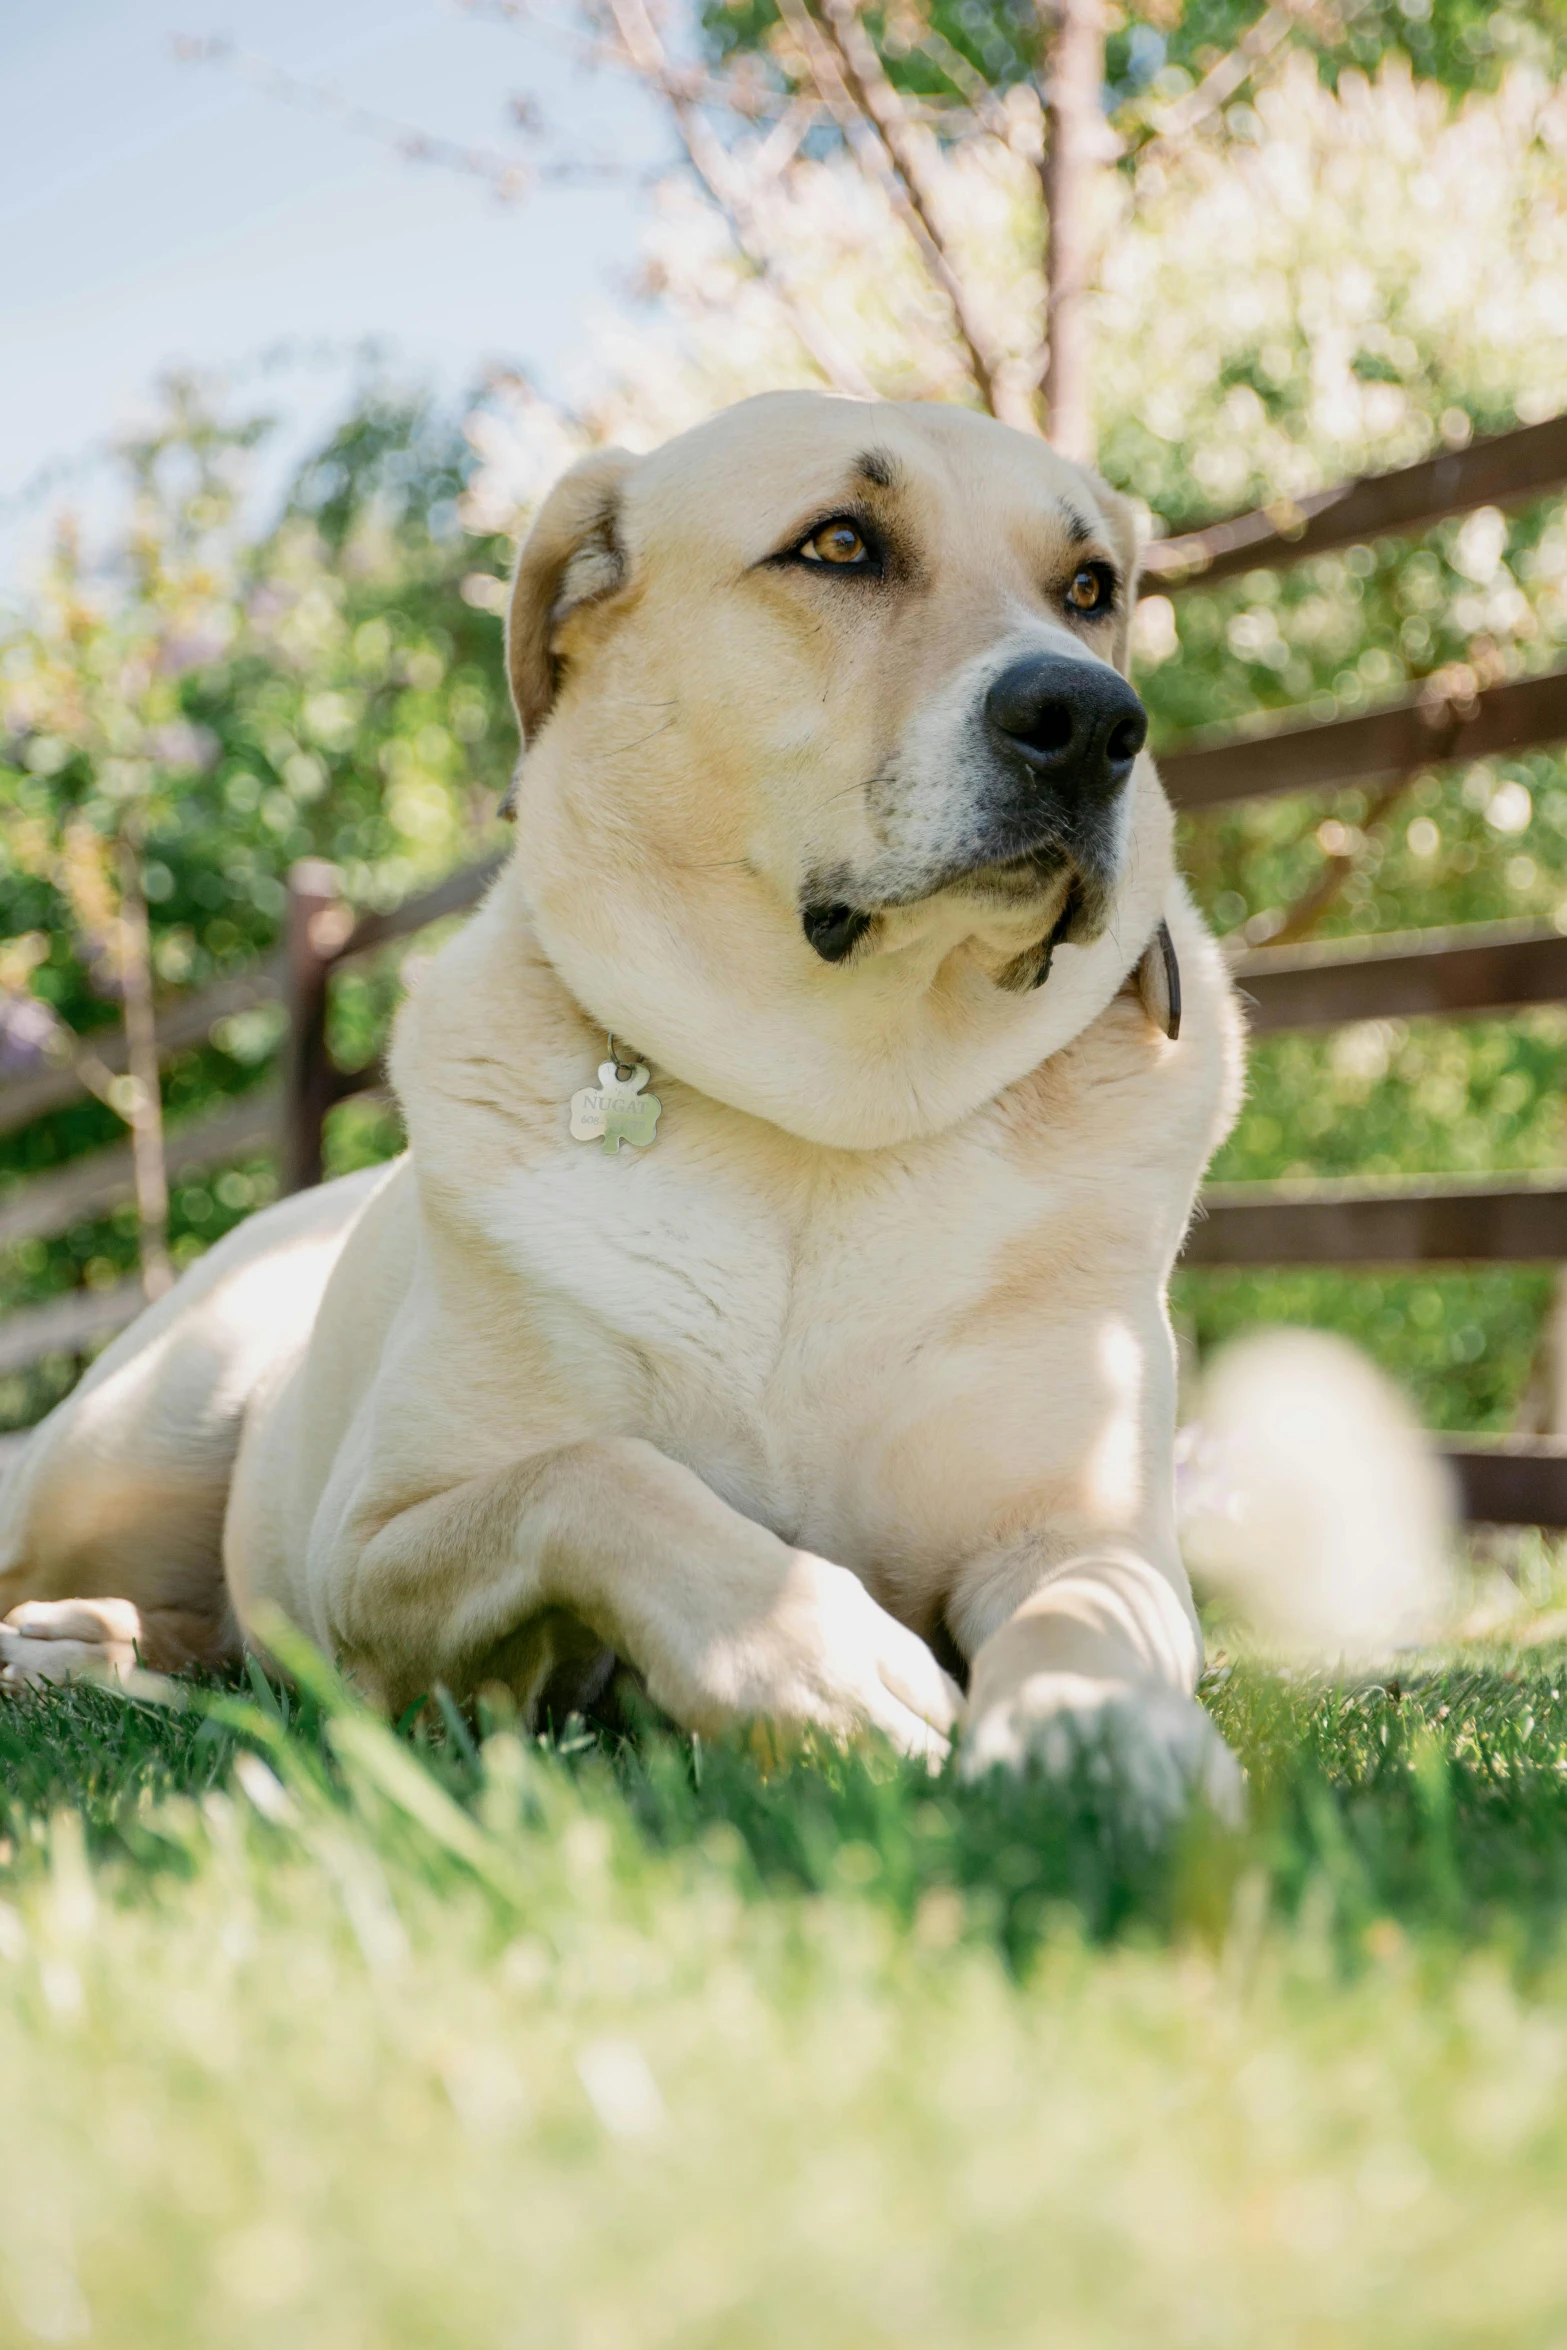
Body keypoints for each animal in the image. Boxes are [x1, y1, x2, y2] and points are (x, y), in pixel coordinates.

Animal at [0, 390, 1249, 1814]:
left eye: (1090, 588)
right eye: (839, 544)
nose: (1094, 719)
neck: (831, 1120)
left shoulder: (1087, 1528)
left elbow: (1090, 1616)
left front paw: (1107, 1744)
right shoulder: (364, 1555)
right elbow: (593, 1477)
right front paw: (817, 1662)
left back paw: (88, 1646)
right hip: (129, 1448)